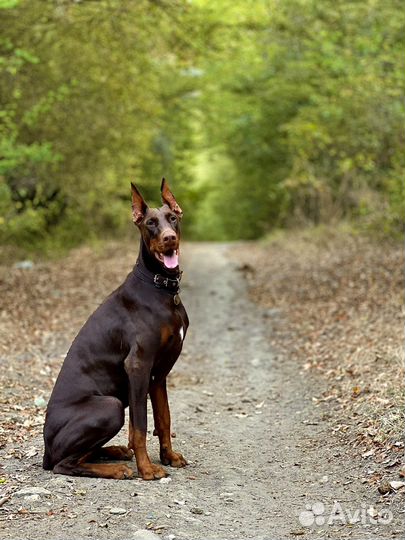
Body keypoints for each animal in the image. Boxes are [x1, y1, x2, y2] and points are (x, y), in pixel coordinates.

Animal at [43, 179, 189, 478]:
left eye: (172, 218)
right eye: (150, 223)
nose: (169, 238)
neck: (161, 287)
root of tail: (45, 451)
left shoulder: (158, 375)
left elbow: (164, 419)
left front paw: (168, 456)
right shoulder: (138, 365)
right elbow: (141, 426)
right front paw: (147, 469)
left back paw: (116, 452)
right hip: (110, 406)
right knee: (65, 465)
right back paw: (117, 468)